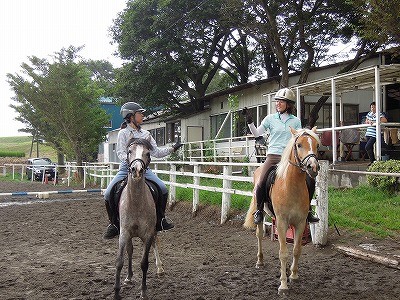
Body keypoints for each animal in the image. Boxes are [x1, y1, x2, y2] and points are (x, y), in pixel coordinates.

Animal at [114, 138, 164, 300]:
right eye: (129, 151)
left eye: (148, 153)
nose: (136, 170)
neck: (136, 202)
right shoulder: (124, 233)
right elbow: (120, 261)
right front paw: (116, 292)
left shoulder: (147, 234)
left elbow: (144, 263)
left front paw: (143, 291)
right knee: (130, 251)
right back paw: (129, 278)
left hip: (153, 231)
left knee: (155, 243)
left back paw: (160, 268)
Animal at [242, 126, 320, 296]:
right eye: (299, 145)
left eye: (317, 145)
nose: (313, 167)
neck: (291, 186)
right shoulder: (282, 223)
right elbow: (283, 253)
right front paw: (283, 285)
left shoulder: (300, 222)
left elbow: (297, 249)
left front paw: (294, 275)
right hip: (261, 212)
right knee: (259, 235)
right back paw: (260, 261)